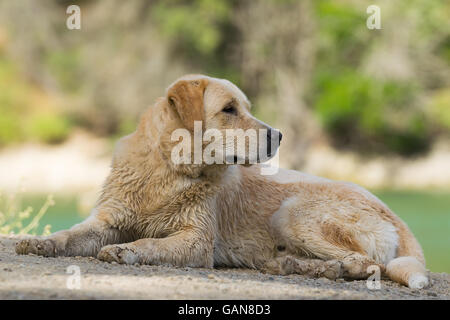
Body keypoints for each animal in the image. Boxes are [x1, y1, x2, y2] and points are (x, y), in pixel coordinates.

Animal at [14, 74, 428, 288]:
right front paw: (39, 242)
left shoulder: (196, 240)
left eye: (244, 108)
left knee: (366, 264)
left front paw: (127, 251)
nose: (280, 135)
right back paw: (289, 266)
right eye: (229, 109)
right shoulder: (107, 221)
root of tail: (396, 216)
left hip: (292, 212)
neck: (167, 171)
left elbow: (151, 243)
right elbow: (69, 236)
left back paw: (322, 269)